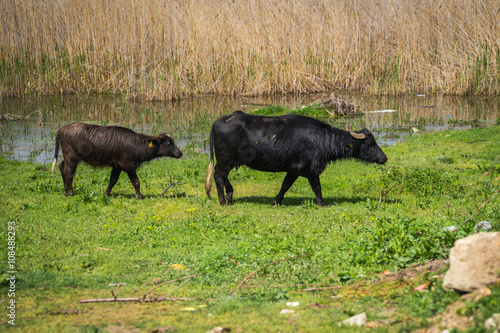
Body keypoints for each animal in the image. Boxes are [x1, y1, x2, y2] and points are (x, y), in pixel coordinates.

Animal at [50, 122, 183, 198]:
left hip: (69, 157)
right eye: (169, 143)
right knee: (69, 173)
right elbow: (136, 182)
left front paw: (106, 194)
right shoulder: (128, 166)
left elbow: (112, 180)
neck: (137, 145)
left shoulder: (117, 166)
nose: (180, 153)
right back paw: (70, 193)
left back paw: (65, 191)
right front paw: (139, 196)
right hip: (71, 156)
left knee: (61, 166)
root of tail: (61, 130)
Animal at [205, 111, 388, 205]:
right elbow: (317, 188)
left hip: (230, 161)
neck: (321, 139)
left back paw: (230, 195)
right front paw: (322, 203)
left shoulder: (293, 170)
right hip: (224, 160)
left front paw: (277, 201)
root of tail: (217, 122)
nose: (384, 158)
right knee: (218, 176)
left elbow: (285, 185)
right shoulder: (311, 171)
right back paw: (223, 200)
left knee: (223, 177)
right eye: (370, 142)